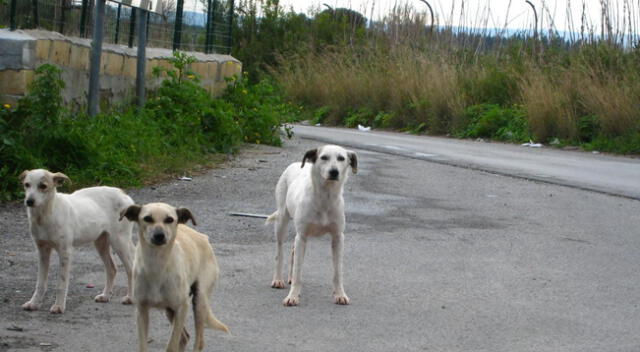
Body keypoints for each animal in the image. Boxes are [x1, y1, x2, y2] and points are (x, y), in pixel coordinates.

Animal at [20, 168, 135, 314]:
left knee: (131, 269)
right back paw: (105, 296)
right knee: (112, 269)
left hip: (119, 241)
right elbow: (40, 283)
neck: (46, 215)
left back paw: (130, 298)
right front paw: (34, 303)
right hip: (101, 242)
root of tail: (123, 194)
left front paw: (59, 306)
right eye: (26, 185)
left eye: (43, 186)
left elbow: (61, 283)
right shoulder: (42, 251)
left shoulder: (65, 252)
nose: (29, 201)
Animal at [120, 202, 230, 350]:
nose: (159, 235)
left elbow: (172, 345)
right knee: (184, 337)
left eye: (169, 219)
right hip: (170, 310)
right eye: (147, 218)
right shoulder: (141, 311)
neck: (157, 264)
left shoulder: (182, 308)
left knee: (198, 342)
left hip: (199, 303)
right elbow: (143, 346)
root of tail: (203, 237)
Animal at [264, 143, 356, 306]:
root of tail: (294, 164)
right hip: (282, 222)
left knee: (293, 250)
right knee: (279, 253)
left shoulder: (338, 238)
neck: (325, 198)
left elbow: (337, 272)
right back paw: (278, 279)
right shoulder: (302, 237)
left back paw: (288, 277)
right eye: (324, 157)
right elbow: (298, 271)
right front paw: (293, 296)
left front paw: (340, 294)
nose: (334, 172)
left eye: (341, 158)